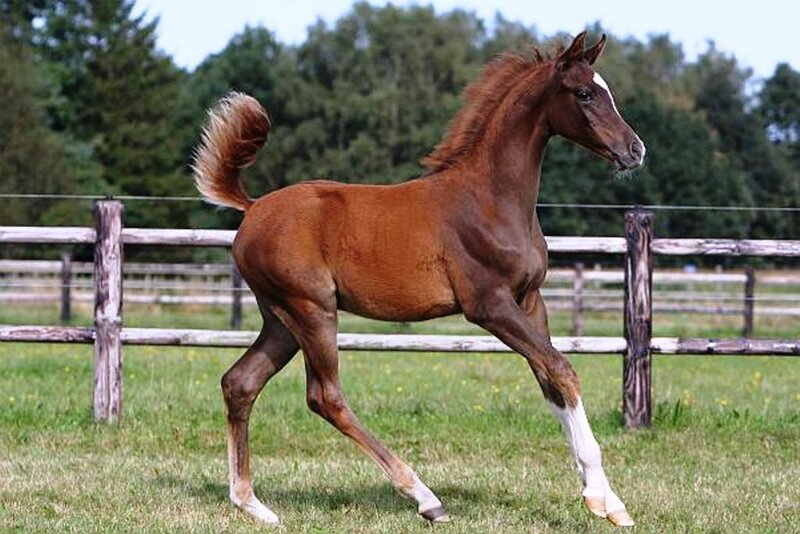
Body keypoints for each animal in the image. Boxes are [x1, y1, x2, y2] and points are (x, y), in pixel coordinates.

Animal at [192, 31, 645, 527]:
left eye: (606, 90)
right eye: (584, 94)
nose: (635, 150)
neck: (491, 199)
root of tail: (252, 208)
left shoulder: (530, 300)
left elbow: (551, 382)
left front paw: (606, 499)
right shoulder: (489, 305)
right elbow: (564, 370)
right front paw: (605, 501)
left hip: (280, 320)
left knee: (240, 383)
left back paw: (252, 504)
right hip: (311, 309)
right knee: (324, 396)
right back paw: (425, 497)